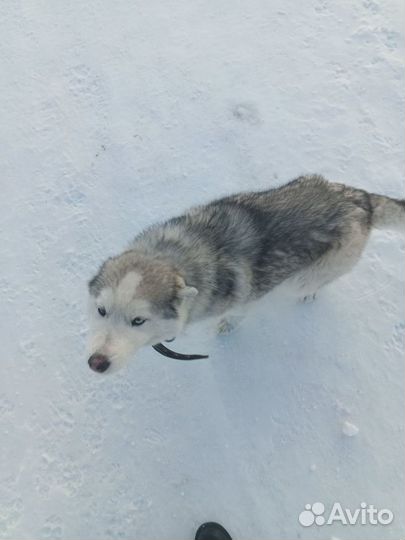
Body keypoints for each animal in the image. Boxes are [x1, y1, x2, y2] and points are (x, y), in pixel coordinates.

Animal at [87, 175, 402, 374]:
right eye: (101, 311)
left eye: (138, 320)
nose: (96, 363)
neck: (176, 256)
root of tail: (361, 200)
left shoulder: (246, 296)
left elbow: (239, 312)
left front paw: (228, 325)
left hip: (307, 277)